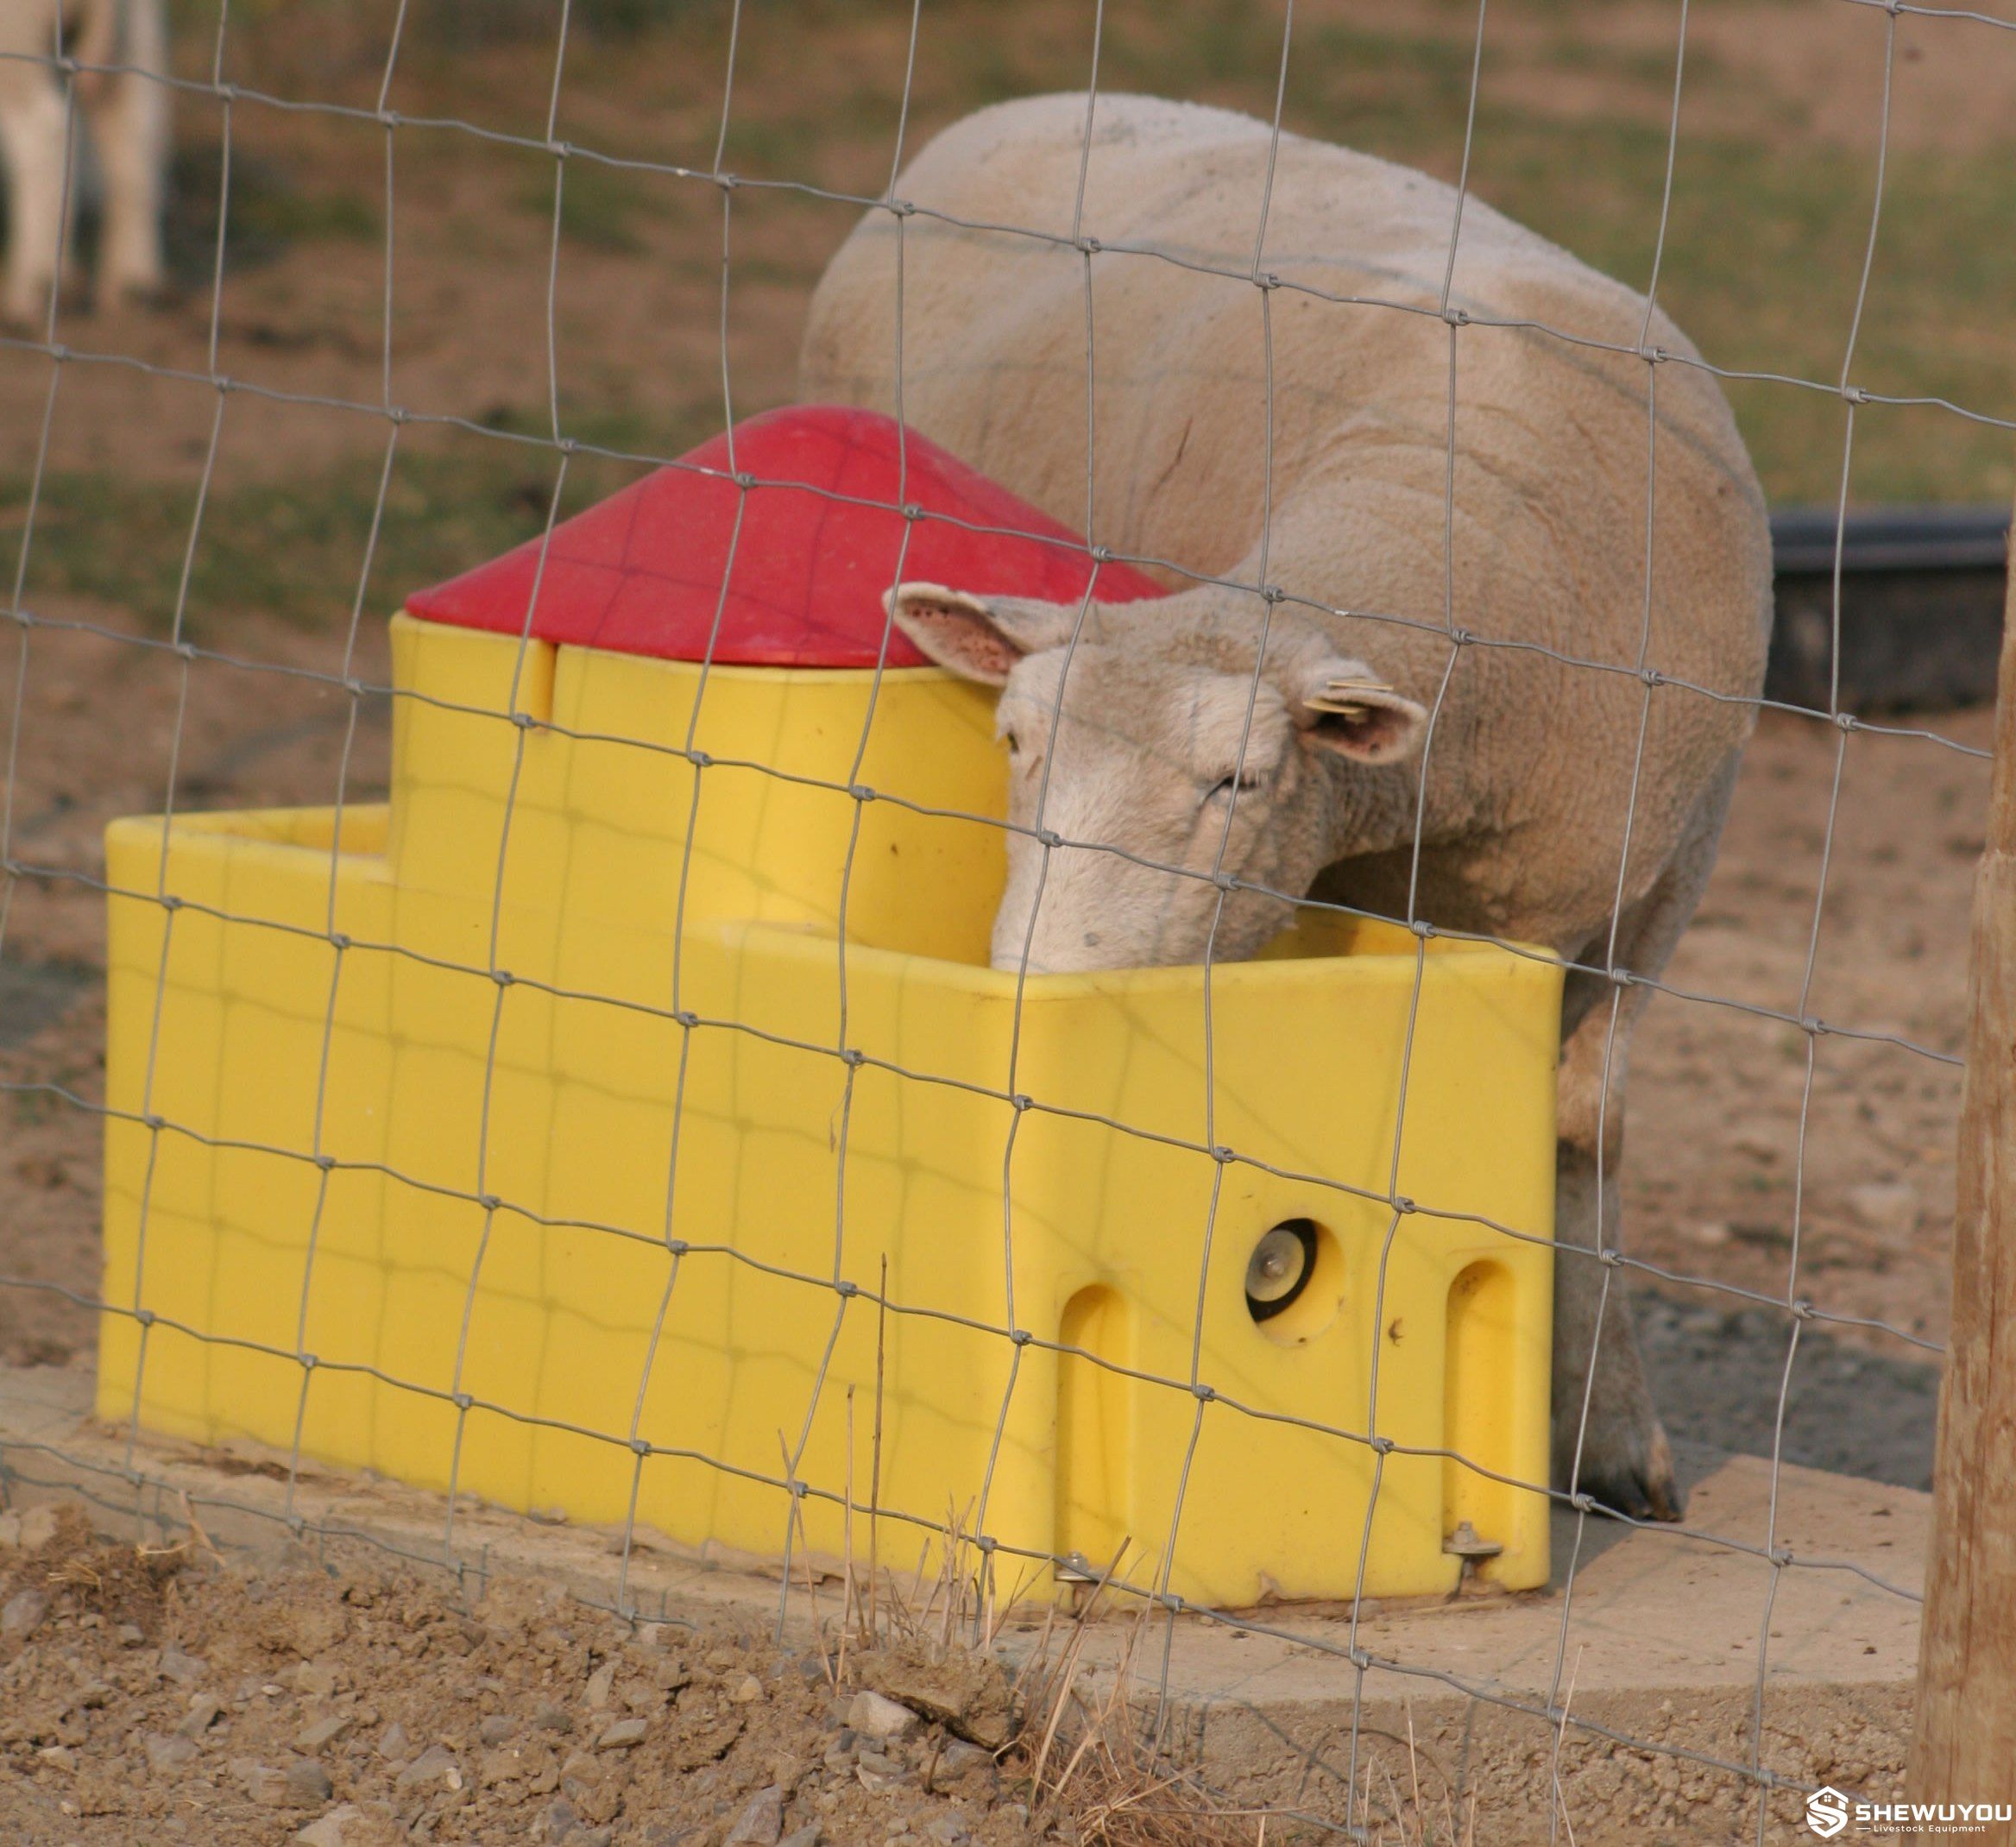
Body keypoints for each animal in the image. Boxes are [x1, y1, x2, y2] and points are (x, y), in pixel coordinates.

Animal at [0, 0, 168, 325]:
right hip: (137, 32)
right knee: (135, 135)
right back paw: (133, 288)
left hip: (17, 36)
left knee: (46, 129)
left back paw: (36, 292)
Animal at [801, 92, 1773, 1523]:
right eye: (1016, 740)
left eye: (1239, 780)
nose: (1039, 992)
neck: (1445, 492)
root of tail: (1034, 105)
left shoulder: (1658, 891)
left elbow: (1579, 1138)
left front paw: (1609, 1438)